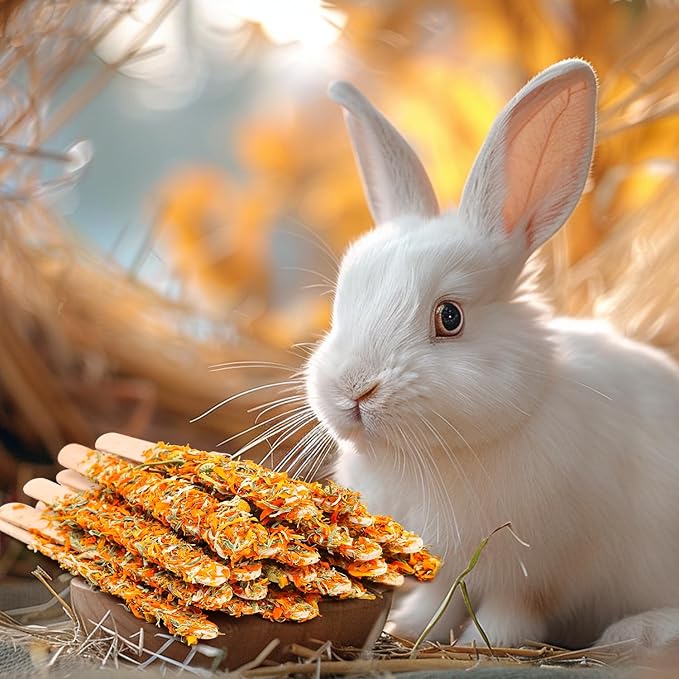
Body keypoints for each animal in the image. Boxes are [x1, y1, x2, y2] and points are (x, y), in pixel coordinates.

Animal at [304, 59, 679, 649]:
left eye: (449, 318)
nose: (352, 391)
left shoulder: (535, 572)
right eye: (342, 300)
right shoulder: (444, 565)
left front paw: (482, 644)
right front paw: (411, 627)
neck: (432, 456)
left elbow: (512, 612)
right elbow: (438, 599)